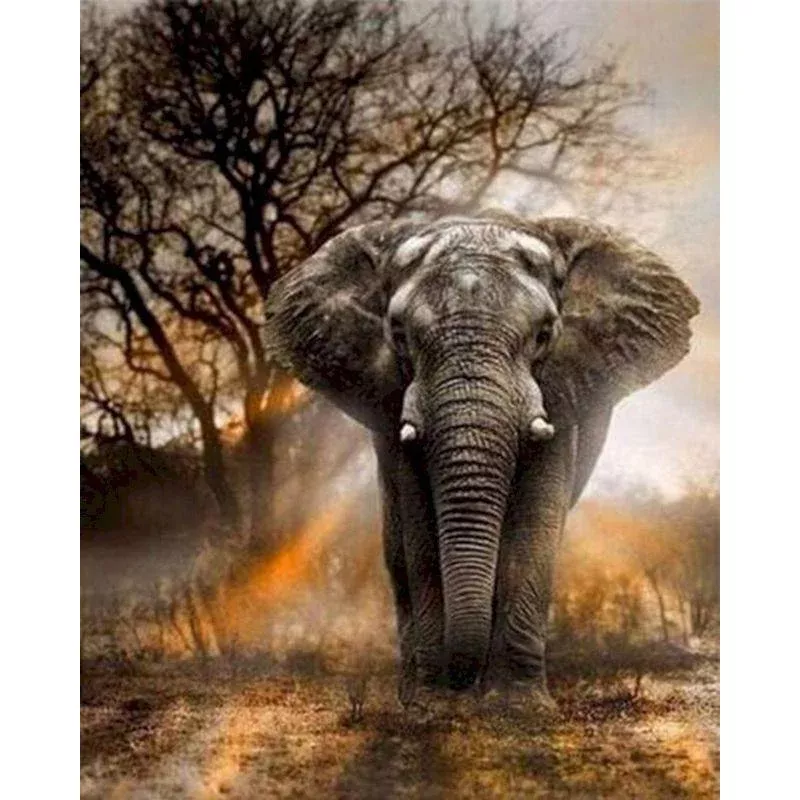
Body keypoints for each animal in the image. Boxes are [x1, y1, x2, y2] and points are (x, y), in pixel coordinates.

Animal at [264, 209, 699, 705]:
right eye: (399, 335)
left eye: (544, 334)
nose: (460, 685)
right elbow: (419, 528)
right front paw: (433, 705)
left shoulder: (559, 391)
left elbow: (534, 522)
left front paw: (518, 707)